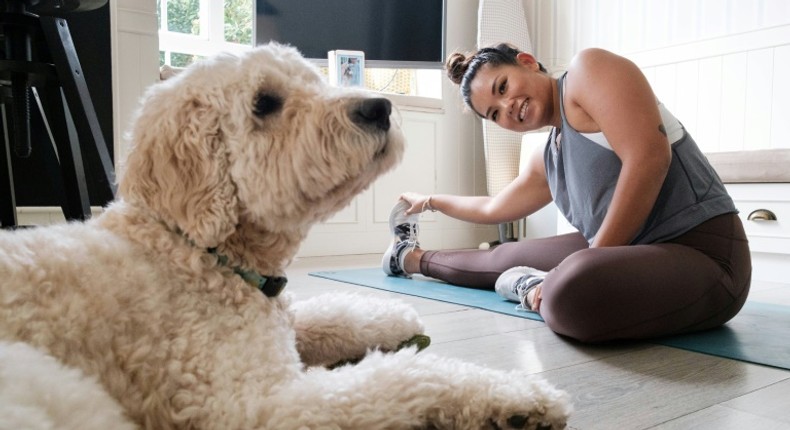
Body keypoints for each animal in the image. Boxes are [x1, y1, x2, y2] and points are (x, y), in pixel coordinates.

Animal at [0, 42, 572, 426]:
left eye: (313, 81)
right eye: (265, 103)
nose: (379, 107)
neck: (196, 252)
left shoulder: (277, 320)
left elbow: (329, 313)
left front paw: (393, 318)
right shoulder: (256, 404)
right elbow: (405, 377)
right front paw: (515, 396)